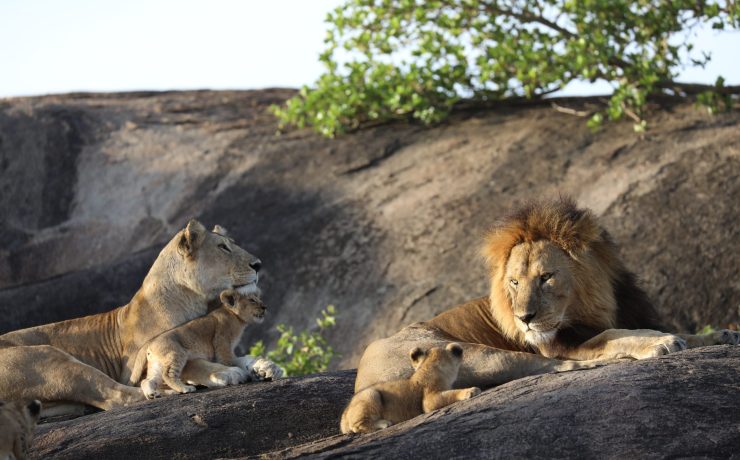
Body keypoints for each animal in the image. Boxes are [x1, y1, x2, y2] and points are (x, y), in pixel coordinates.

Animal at [130, 290, 268, 399]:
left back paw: (152, 394)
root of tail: (150, 342)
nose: (265, 307)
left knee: (147, 380)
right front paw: (240, 373)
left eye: (258, 299)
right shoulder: (222, 341)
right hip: (176, 353)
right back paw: (185, 389)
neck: (236, 318)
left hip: (156, 365)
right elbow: (227, 361)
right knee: (168, 374)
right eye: (252, 300)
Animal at [341, 343, 480, 434]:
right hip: (370, 394)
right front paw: (471, 390)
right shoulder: (428, 399)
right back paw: (384, 423)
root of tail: (344, 415)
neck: (429, 367)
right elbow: (449, 394)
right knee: (356, 426)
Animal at [356, 199, 739, 392]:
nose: (524, 319)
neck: (592, 306)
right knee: (554, 366)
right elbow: (612, 336)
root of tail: (361, 375)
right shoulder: (563, 343)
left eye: (546, 278)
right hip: (473, 354)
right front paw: (657, 343)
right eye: (513, 282)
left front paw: (720, 334)